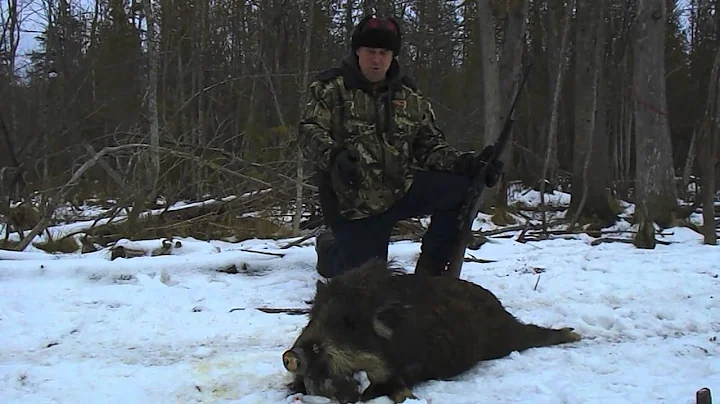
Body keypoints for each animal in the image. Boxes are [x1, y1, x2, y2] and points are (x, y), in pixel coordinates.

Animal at [282, 259, 581, 403]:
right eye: (312, 316)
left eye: (349, 323)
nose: (290, 355)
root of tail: (496, 304)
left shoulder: (406, 369)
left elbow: (399, 391)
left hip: (505, 338)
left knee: (534, 334)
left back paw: (574, 334)